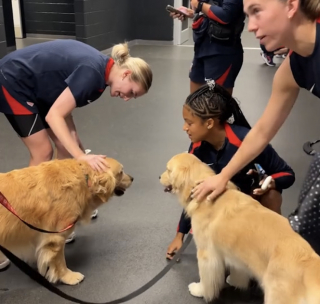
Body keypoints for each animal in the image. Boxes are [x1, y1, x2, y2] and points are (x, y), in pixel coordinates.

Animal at [0, 157, 132, 284]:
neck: (84, 179)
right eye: (121, 172)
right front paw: (68, 277)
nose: (132, 178)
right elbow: (59, 262)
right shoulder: (55, 237)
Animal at [160, 153, 320, 304]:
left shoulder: (207, 254)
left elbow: (206, 278)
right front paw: (235, 280)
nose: (159, 177)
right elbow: (238, 269)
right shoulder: (235, 252)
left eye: (168, 170)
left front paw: (200, 290)